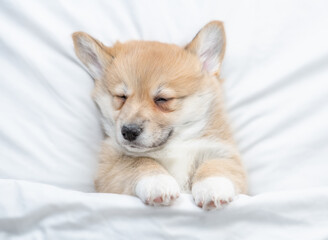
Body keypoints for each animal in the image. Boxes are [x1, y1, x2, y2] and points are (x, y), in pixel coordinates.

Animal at [72, 21, 246, 210]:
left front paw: (213, 187)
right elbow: (139, 162)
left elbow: (216, 165)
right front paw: (158, 182)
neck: (173, 146)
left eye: (162, 99)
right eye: (122, 97)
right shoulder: (109, 168)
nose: (129, 131)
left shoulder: (223, 153)